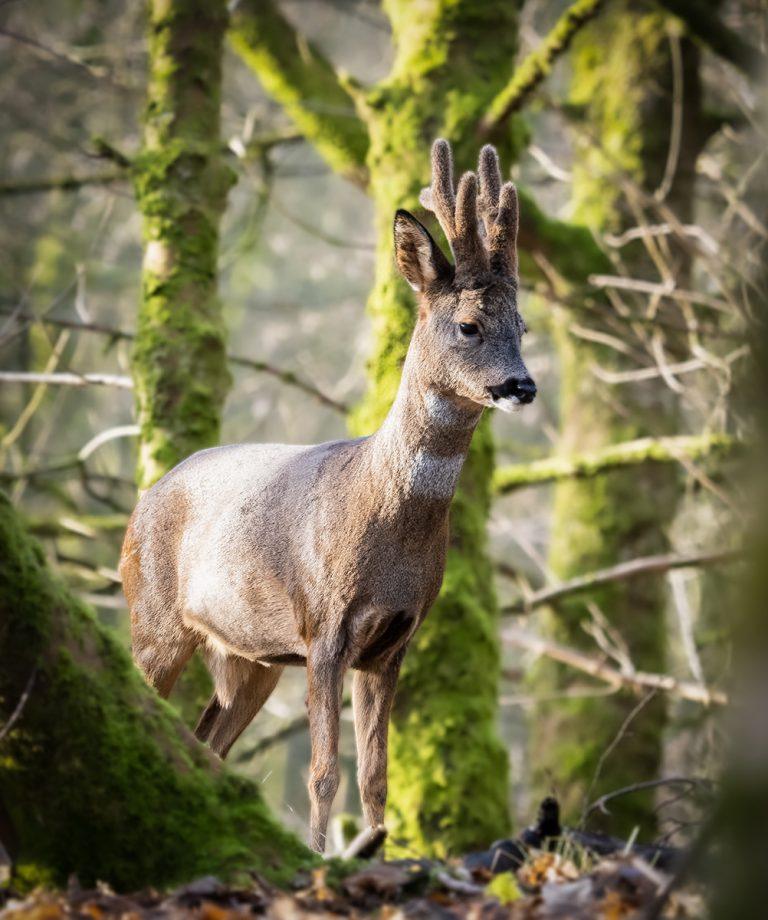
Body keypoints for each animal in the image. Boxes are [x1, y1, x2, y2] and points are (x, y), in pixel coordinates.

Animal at [119, 138, 536, 853]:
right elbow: (322, 773)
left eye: (525, 325)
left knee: (208, 744)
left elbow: (375, 774)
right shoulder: (324, 624)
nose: (522, 385)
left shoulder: (394, 639)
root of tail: (144, 499)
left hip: (248, 657)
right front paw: (325, 857)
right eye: (469, 325)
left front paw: (375, 845)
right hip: (153, 616)